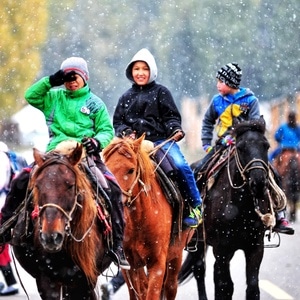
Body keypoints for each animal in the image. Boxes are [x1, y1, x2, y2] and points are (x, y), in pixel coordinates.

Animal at [102, 135, 192, 300]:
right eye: (106, 168)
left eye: (131, 170)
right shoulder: (129, 264)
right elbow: (138, 292)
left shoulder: (157, 263)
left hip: (176, 255)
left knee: (170, 286)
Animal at [179, 118, 284, 300]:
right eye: (240, 147)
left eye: (266, 146)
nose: (258, 182)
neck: (239, 207)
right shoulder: (222, 249)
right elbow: (224, 286)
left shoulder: (255, 247)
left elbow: (252, 287)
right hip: (196, 240)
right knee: (199, 269)